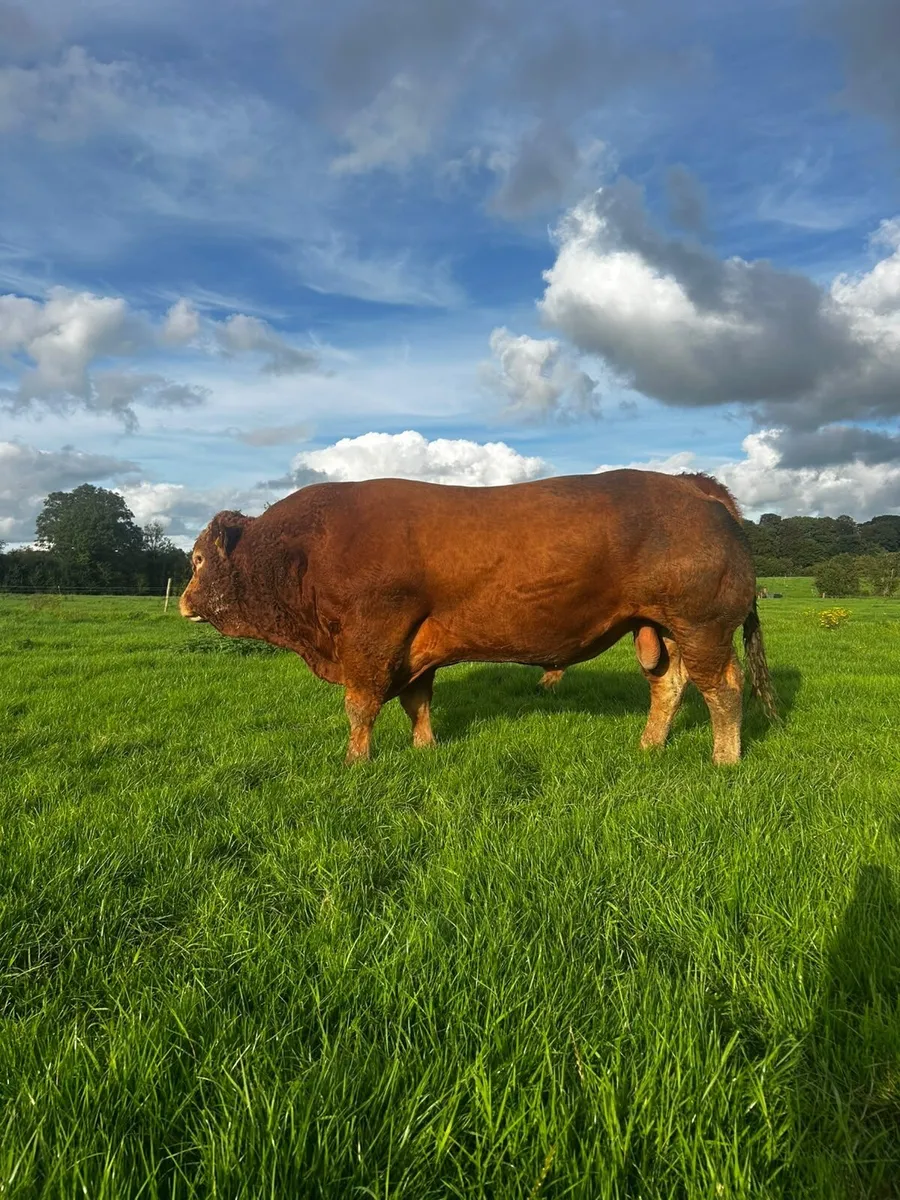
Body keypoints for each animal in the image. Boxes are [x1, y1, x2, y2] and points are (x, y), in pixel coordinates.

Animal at [180, 470, 778, 766]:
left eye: (198, 559)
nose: (184, 601)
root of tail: (694, 484)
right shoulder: (415, 648)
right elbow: (417, 702)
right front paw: (425, 749)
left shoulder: (372, 635)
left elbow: (361, 704)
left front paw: (355, 761)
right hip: (661, 628)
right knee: (670, 684)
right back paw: (649, 747)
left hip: (702, 626)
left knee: (723, 688)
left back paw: (725, 760)